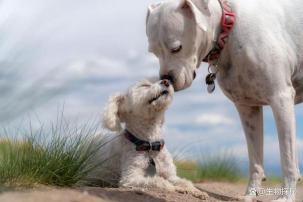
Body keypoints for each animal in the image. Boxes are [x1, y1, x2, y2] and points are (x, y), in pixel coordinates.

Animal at [146, 0, 302, 200]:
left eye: (176, 48)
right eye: (153, 52)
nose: (166, 79)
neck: (228, 29)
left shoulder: (281, 99)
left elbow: (288, 159)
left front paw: (286, 197)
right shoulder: (247, 109)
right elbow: (255, 161)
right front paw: (249, 195)